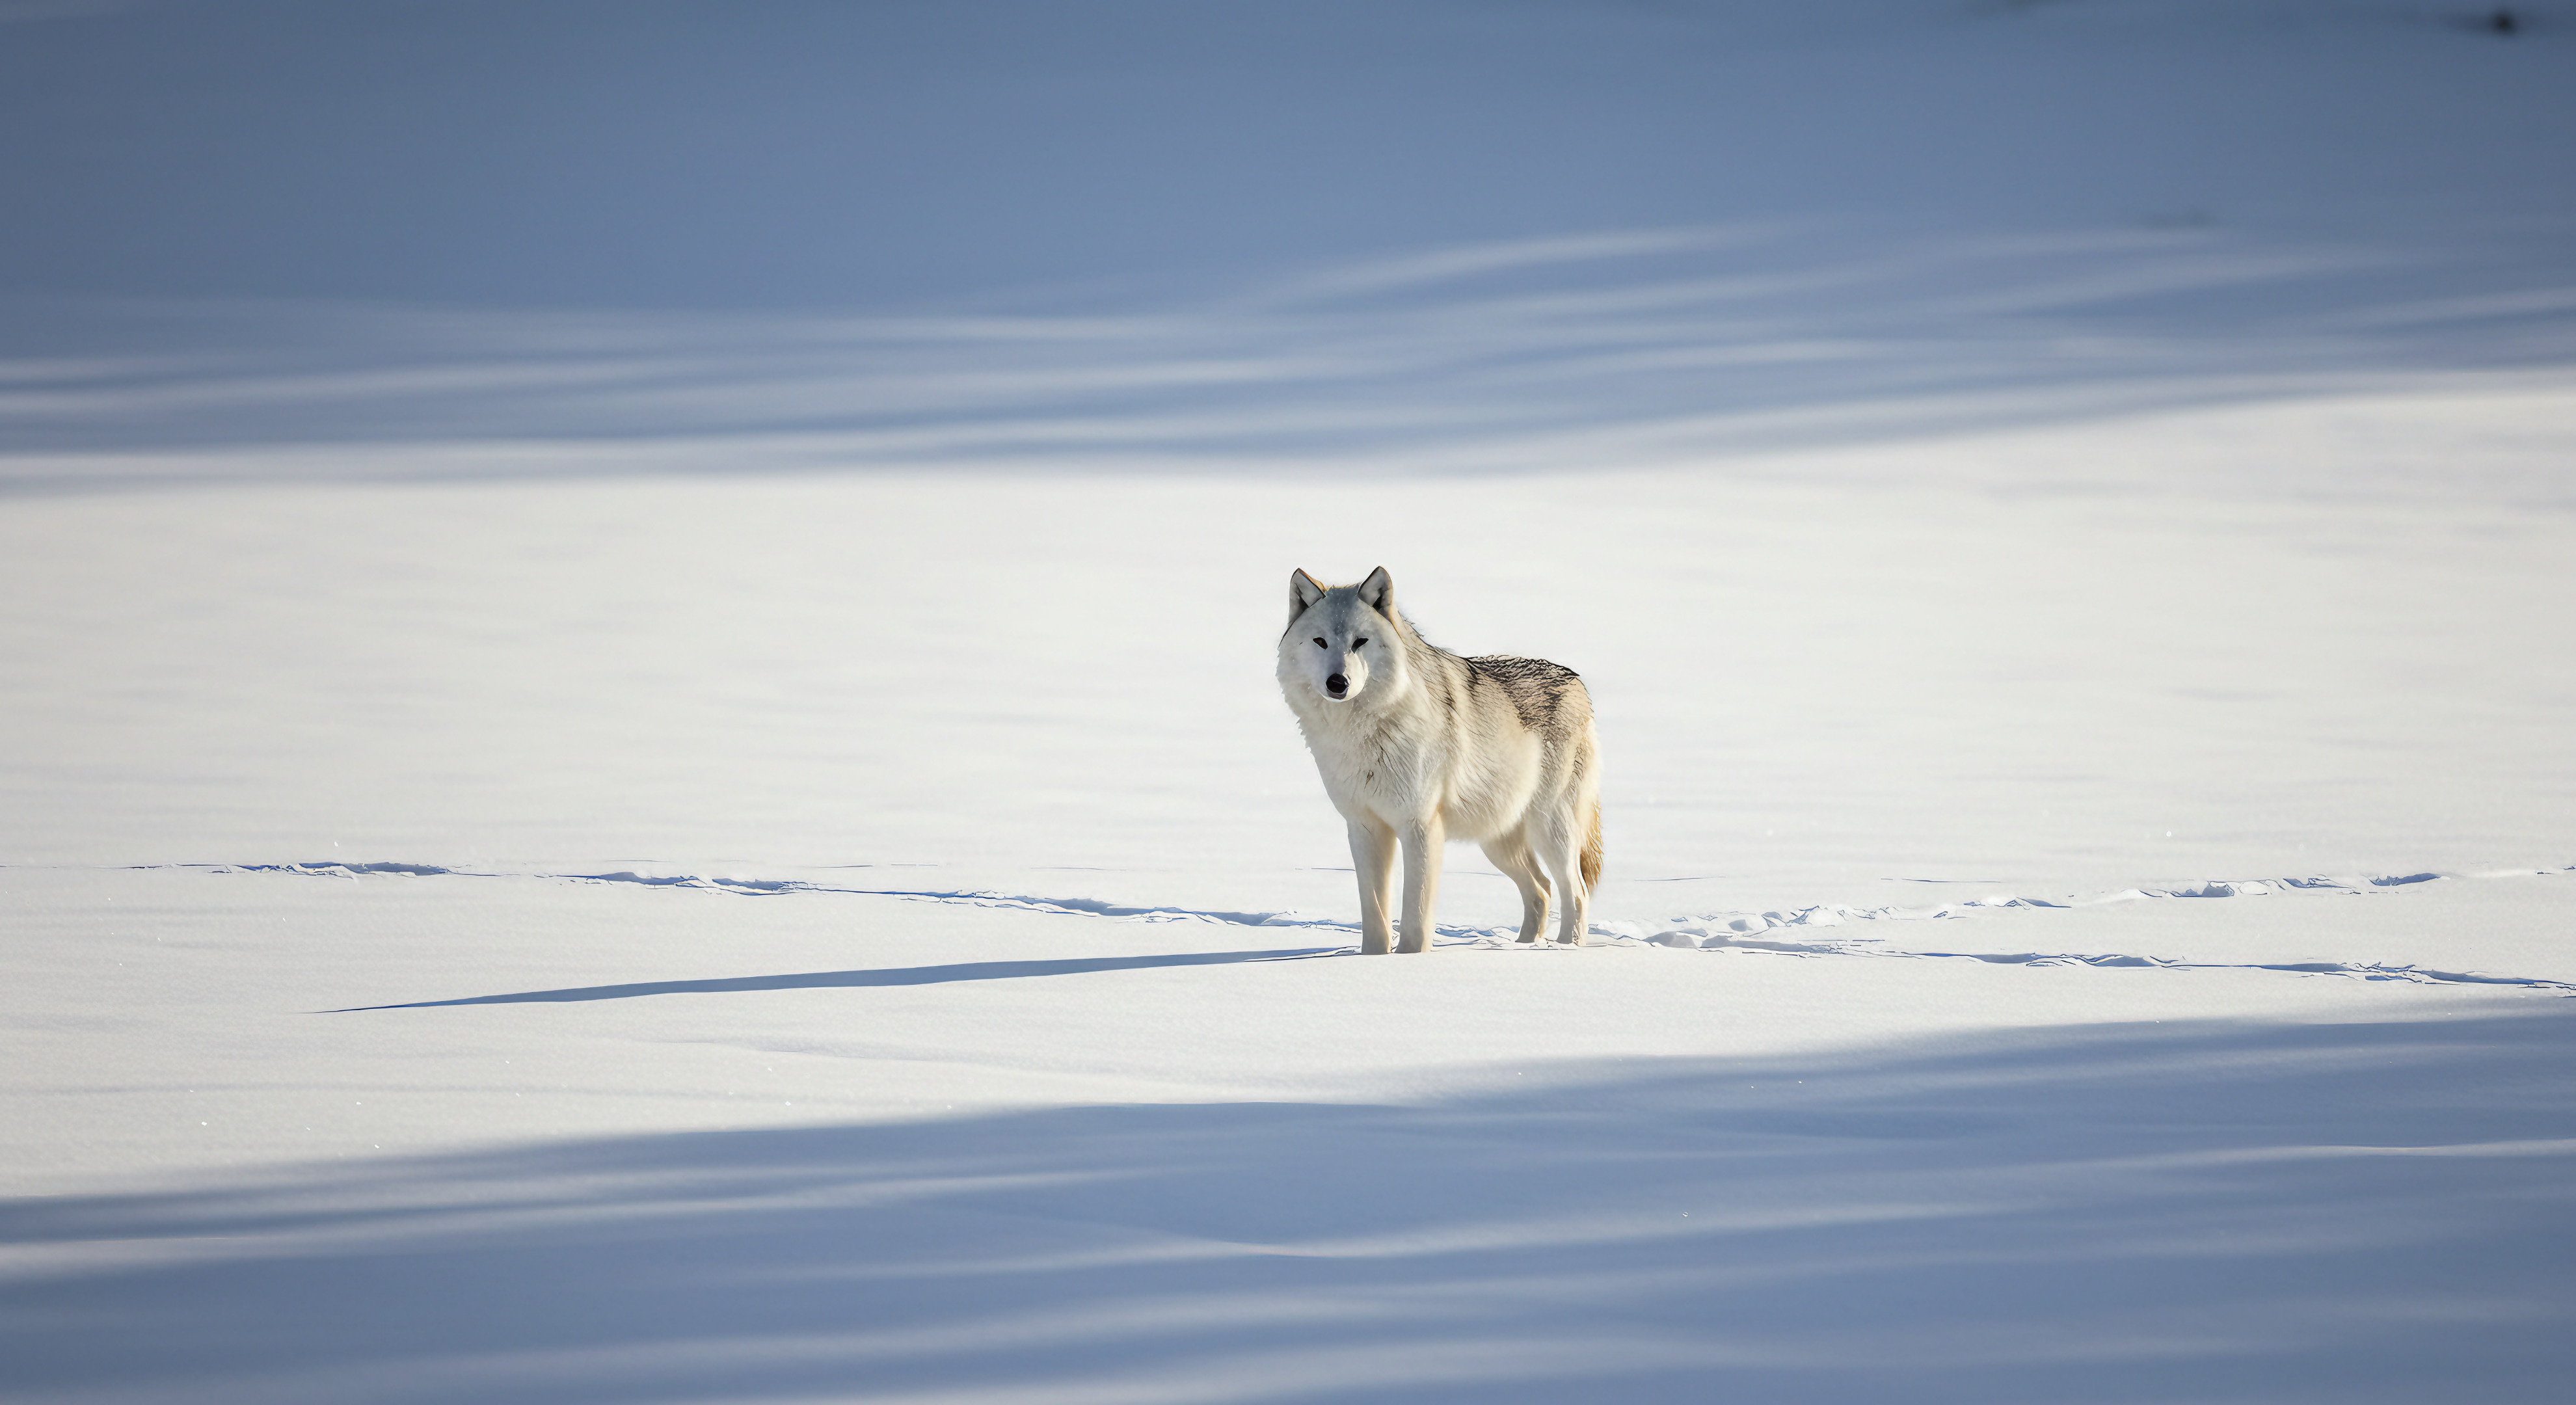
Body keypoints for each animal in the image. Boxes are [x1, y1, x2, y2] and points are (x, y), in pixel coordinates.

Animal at [1279, 567, 1603, 954]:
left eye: (1360, 642)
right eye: (1320, 642)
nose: (1337, 683)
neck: (1363, 732)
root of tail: (1578, 682)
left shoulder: (1420, 826)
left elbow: (1416, 913)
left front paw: (1411, 958)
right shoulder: (1365, 827)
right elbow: (1374, 911)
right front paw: (1372, 958)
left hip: (1550, 829)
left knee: (1577, 892)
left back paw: (1565, 949)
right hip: (1496, 841)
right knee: (1541, 890)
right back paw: (1523, 947)